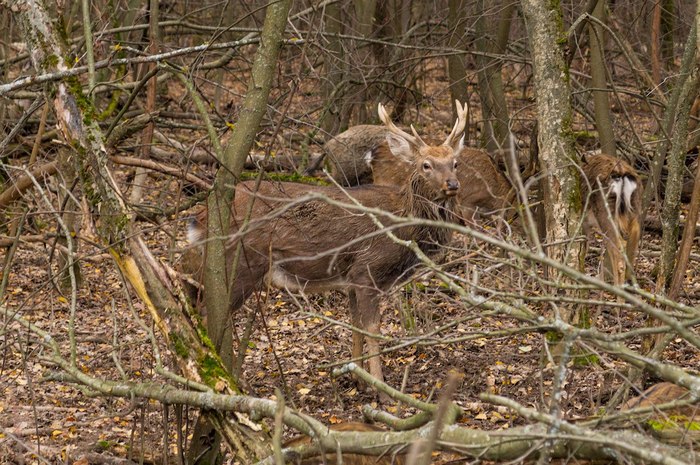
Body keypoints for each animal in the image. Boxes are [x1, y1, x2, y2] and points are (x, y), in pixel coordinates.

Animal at [186, 100, 470, 388]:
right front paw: (379, 386)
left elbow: (355, 324)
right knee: (209, 311)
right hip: (242, 261)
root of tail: (204, 214)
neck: (404, 225)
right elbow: (373, 329)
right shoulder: (367, 269)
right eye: (426, 165)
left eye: (455, 163)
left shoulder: (351, 278)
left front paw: (357, 377)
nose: (453, 184)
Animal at [576, 152, 644, 284]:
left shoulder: (584, 222)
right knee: (632, 242)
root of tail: (621, 174)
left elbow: (582, 251)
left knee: (619, 251)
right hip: (635, 209)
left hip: (606, 212)